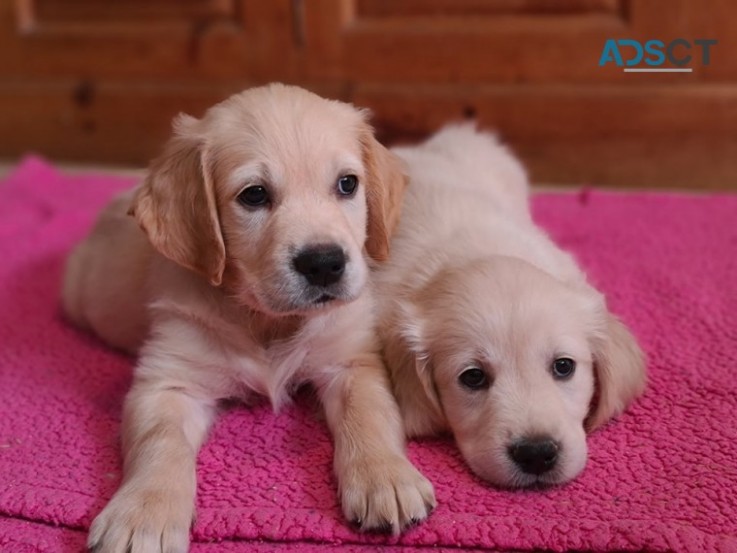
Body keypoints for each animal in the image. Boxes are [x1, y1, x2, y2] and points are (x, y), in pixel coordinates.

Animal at [63, 83, 434, 552]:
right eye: (254, 195)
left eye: (347, 184)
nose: (324, 264)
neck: (266, 317)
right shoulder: (169, 380)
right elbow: (160, 442)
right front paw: (142, 514)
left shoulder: (351, 359)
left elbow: (367, 413)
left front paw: (385, 478)